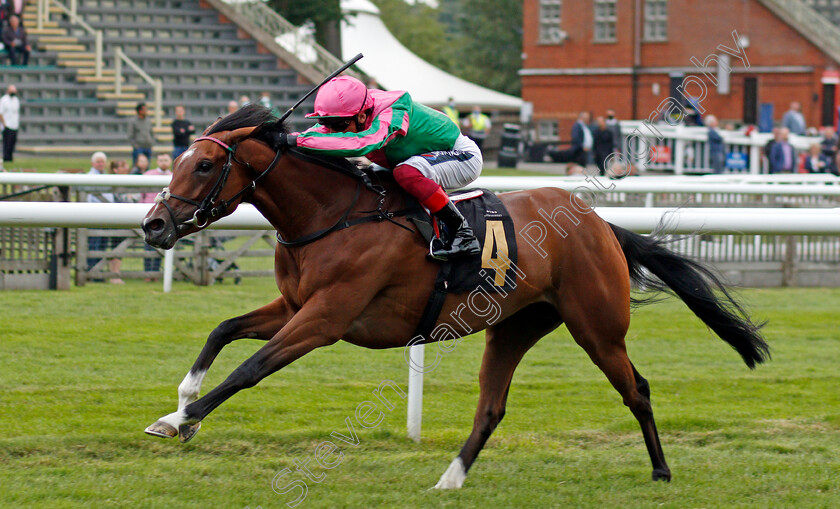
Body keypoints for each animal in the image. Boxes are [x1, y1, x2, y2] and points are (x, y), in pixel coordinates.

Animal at [143, 104, 768, 488]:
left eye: (203, 164)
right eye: (179, 160)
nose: (153, 225)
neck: (331, 215)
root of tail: (598, 223)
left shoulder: (325, 319)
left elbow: (250, 368)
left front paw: (179, 420)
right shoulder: (295, 307)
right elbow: (223, 329)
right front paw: (183, 400)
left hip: (597, 326)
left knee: (636, 389)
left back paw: (662, 471)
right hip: (515, 326)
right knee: (491, 405)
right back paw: (450, 478)